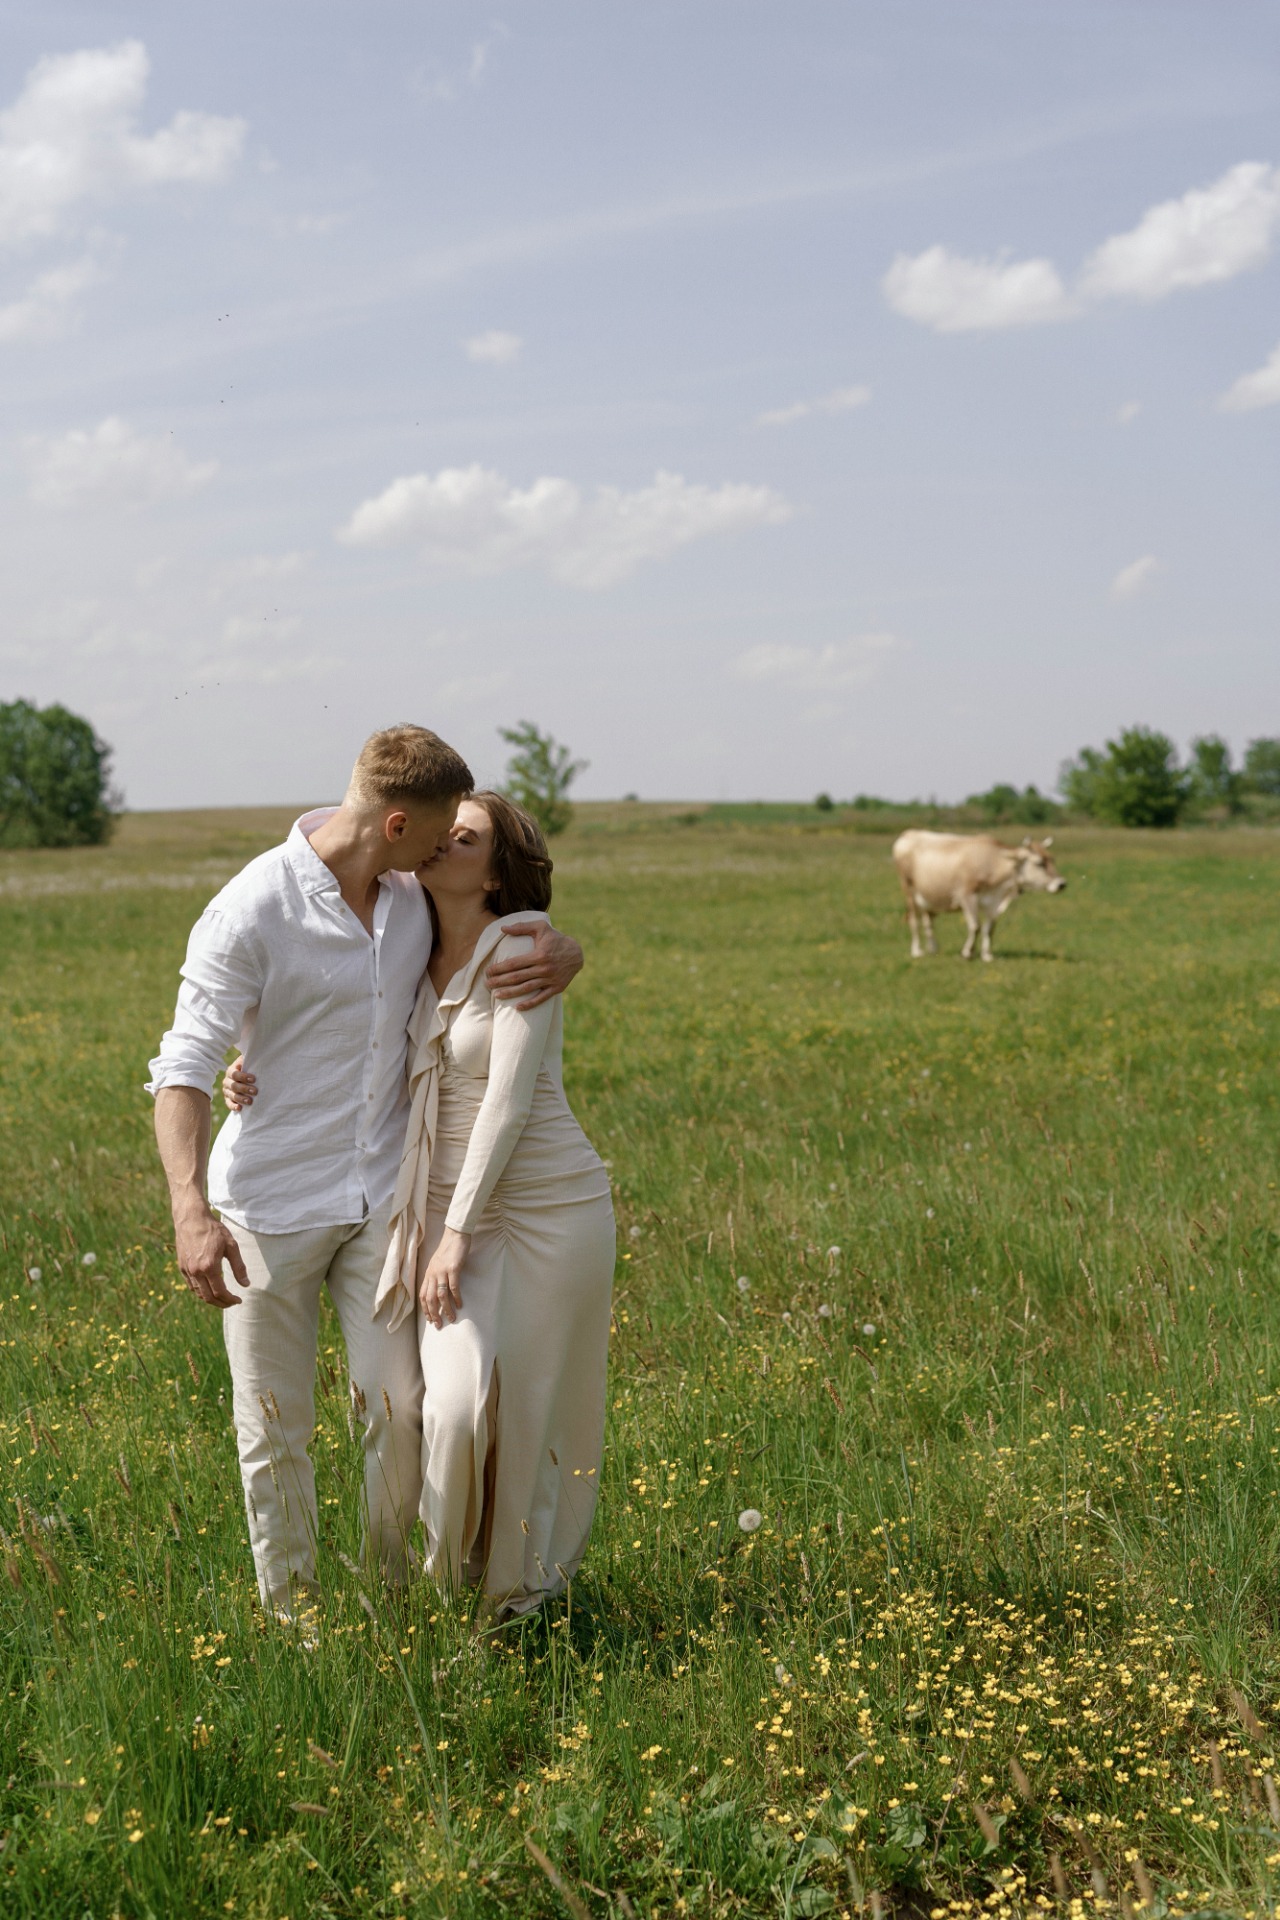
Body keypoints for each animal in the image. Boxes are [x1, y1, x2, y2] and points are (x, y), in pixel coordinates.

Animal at [892, 830, 1066, 961]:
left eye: (1052, 859)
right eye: (1039, 863)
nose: (1061, 884)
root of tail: (909, 833)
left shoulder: (993, 903)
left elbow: (989, 928)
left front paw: (987, 955)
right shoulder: (966, 895)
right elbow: (975, 926)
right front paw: (967, 953)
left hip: (929, 897)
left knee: (928, 922)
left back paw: (933, 948)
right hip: (908, 891)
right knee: (914, 921)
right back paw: (916, 951)